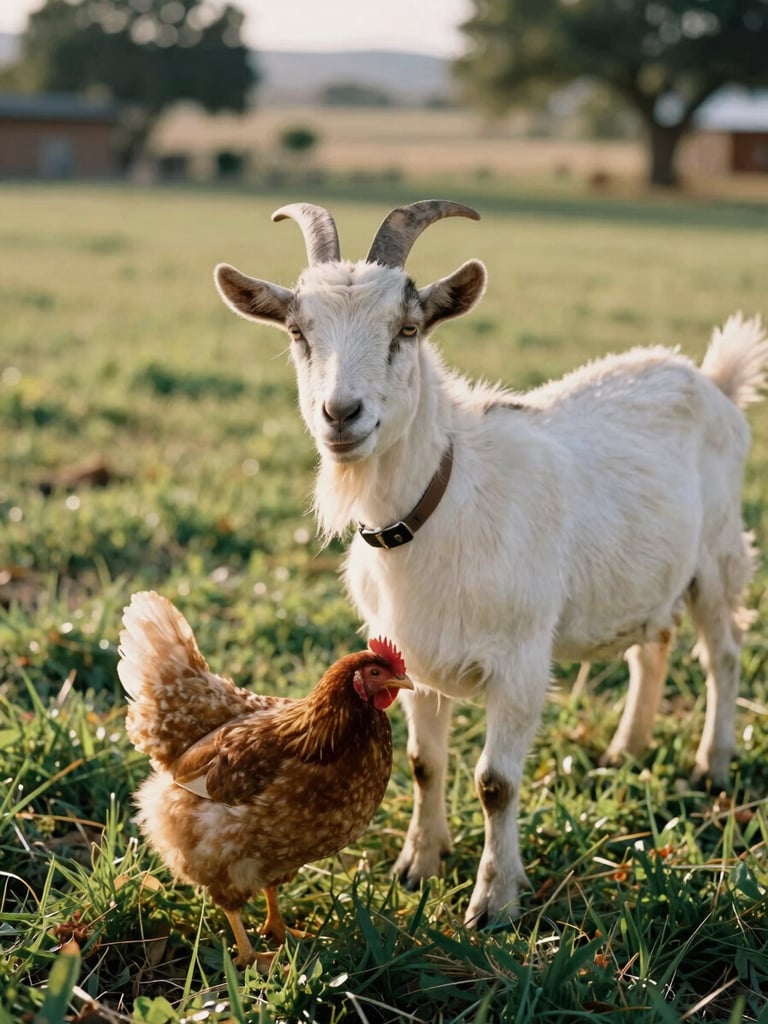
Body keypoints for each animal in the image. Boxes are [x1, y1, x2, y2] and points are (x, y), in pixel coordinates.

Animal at [214, 200, 767, 927]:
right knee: (655, 643)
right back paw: (625, 750)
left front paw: (494, 904)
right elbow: (424, 762)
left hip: (718, 553)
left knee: (722, 653)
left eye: (407, 328)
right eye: (298, 331)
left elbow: (495, 783)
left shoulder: (521, 661)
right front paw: (417, 866)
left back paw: (713, 764)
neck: (440, 501)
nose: (341, 413)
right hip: (649, 573)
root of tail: (712, 378)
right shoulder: (408, 656)